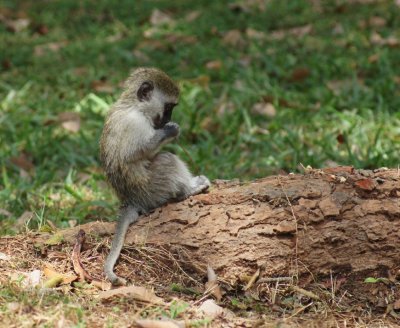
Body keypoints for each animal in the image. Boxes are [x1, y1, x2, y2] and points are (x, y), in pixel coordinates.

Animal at [100, 67, 211, 284]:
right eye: (168, 107)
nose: (167, 120)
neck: (135, 106)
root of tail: (132, 199)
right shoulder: (135, 124)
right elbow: (140, 151)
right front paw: (170, 131)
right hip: (152, 188)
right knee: (167, 159)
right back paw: (188, 190)